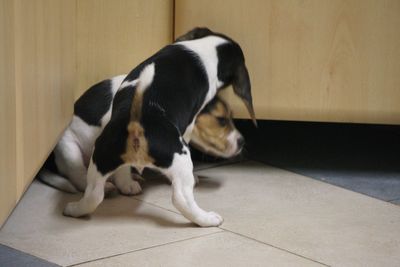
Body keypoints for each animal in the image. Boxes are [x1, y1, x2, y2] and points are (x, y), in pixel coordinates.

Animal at [63, 27, 256, 228]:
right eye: (221, 120)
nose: (242, 142)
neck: (203, 47)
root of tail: (136, 123)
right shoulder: (188, 124)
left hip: (101, 156)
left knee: (93, 194)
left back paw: (74, 209)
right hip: (180, 159)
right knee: (181, 198)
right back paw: (207, 219)